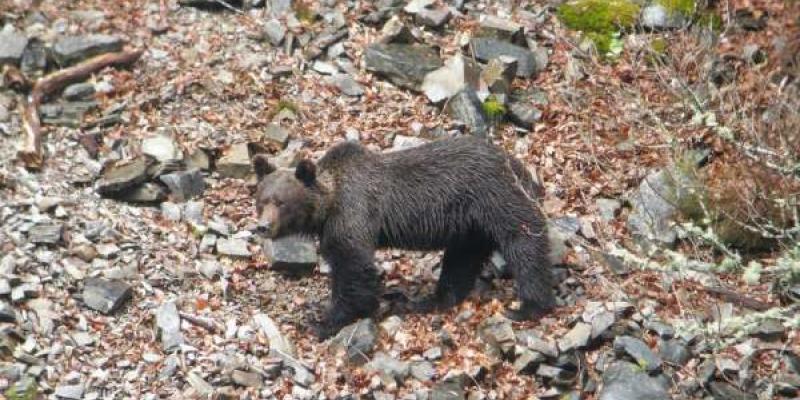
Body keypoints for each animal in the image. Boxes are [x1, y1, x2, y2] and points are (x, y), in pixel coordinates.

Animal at [253, 136, 552, 340]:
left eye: (281, 203)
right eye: (262, 200)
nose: (263, 227)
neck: (327, 206)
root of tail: (517, 164)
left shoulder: (353, 213)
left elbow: (354, 268)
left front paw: (323, 321)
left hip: (493, 195)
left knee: (524, 238)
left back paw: (529, 306)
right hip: (471, 225)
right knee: (461, 260)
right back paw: (431, 300)